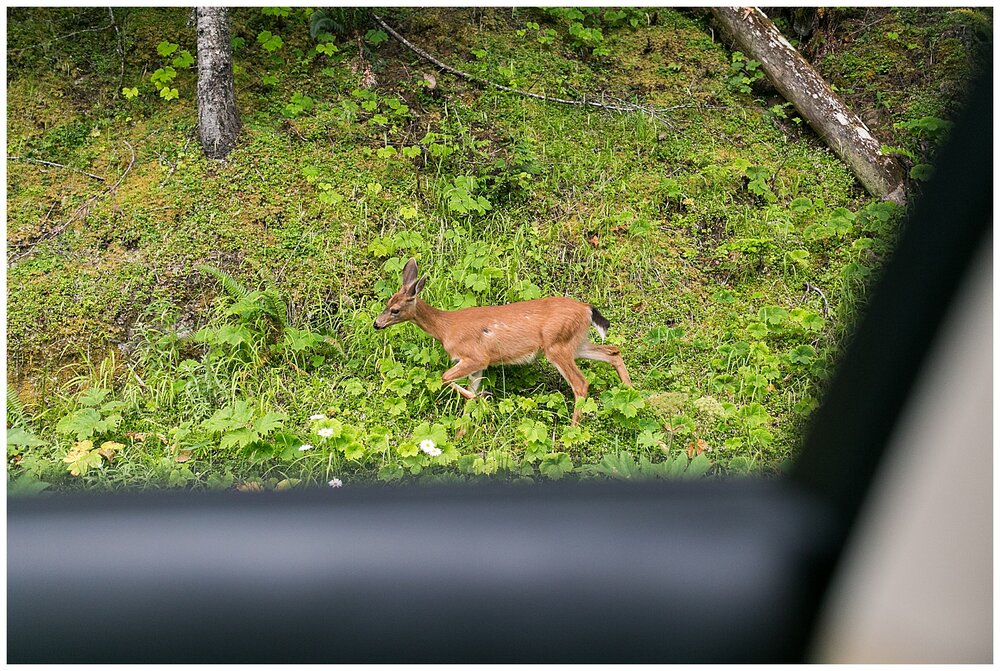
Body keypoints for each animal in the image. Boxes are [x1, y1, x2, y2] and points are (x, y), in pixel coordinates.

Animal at [376, 258, 632, 426]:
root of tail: (587, 309)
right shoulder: (478, 366)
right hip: (576, 343)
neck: (446, 328)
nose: (377, 324)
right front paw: (465, 428)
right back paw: (631, 395)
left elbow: (445, 377)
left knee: (581, 383)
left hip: (557, 346)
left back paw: (572, 429)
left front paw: (483, 398)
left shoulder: (476, 356)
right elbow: (467, 396)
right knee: (613, 351)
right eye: (387, 303)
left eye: (395, 310)